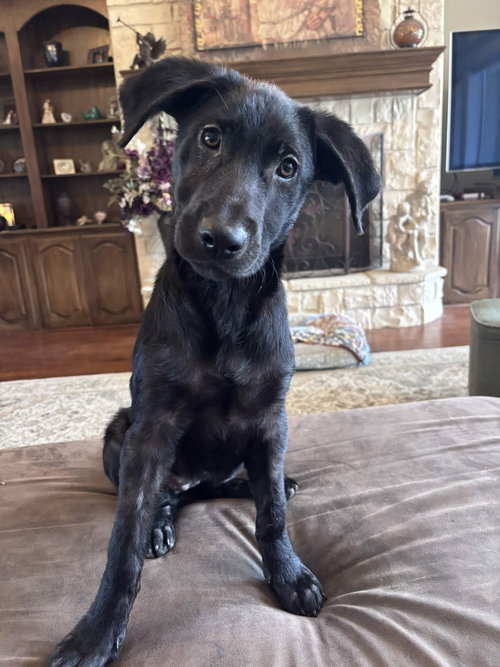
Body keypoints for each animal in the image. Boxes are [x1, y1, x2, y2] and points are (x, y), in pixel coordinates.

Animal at [48, 56, 380, 666]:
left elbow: (272, 516)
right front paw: (97, 630)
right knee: (161, 497)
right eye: (209, 138)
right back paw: (161, 523)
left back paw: (263, 485)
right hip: (119, 433)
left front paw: (288, 574)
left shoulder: (271, 421)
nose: (222, 240)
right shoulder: (152, 426)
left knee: (232, 485)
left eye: (289, 168)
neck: (225, 304)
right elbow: (123, 538)